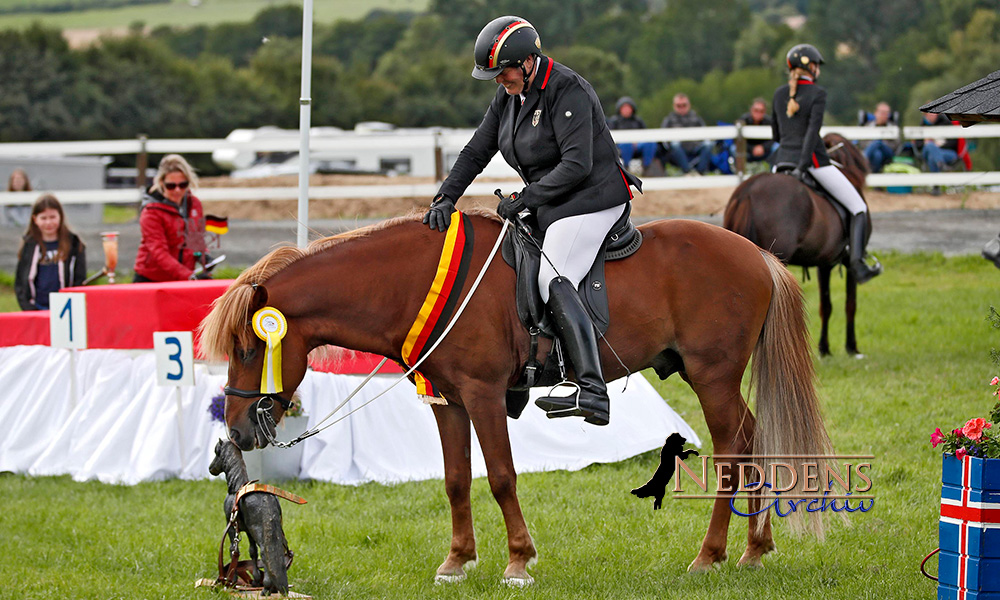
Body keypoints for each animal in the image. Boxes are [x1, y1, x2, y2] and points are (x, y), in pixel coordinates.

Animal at [199, 210, 832, 580]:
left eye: (250, 347)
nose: (236, 427)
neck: (419, 281)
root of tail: (757, 254)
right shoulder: (448, 401)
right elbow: (456, 481)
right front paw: (457, 560)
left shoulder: (482, 395)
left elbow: (501, 476)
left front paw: (519, 560)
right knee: (754, 439)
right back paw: (754, 546)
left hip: (712, 376)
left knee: (731, 450)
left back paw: (712, 553)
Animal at [724, 133, 872, 354]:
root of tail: (748, 192)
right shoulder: (848, 262)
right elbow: (850, 304)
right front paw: (851, 347)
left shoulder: (824, 264)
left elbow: (826, 305)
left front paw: (824, 348)